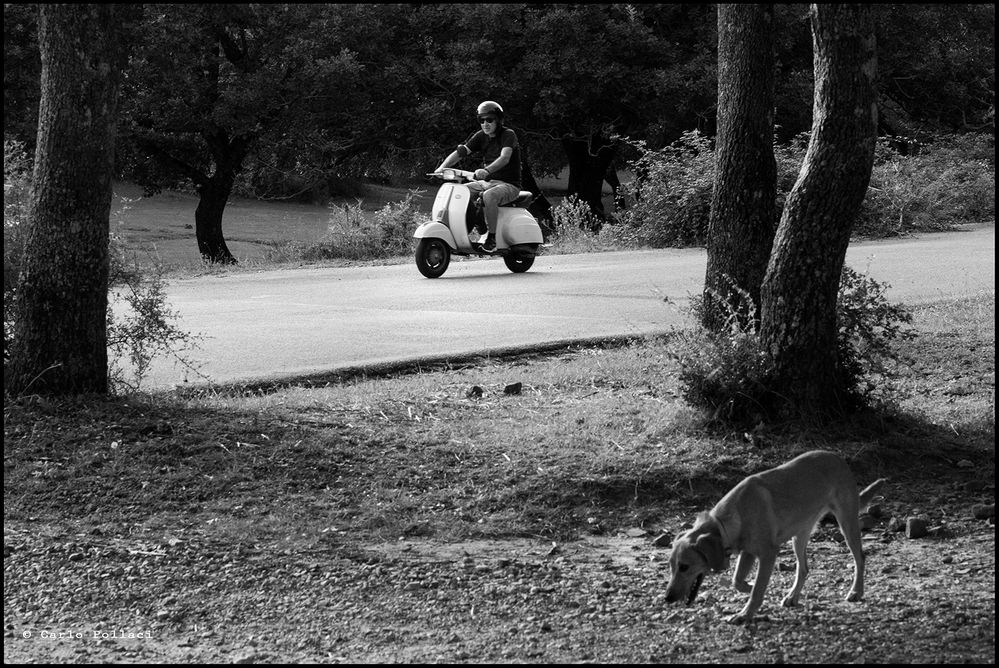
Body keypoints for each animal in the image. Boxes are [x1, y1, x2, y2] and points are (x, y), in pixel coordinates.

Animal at [668, 452, 888, 624]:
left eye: (684, 567)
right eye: (671, 566)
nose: (667, 598)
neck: (728, 520)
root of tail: (839, 458)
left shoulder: (768, 554)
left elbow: (757, 589)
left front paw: (745, 613)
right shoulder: (748, 553)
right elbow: (737, 581)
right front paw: (749, 589)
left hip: (847, 524)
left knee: (860, 558)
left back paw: (856, 591)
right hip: (799, 537)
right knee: (804, 568)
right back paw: (793, 596)